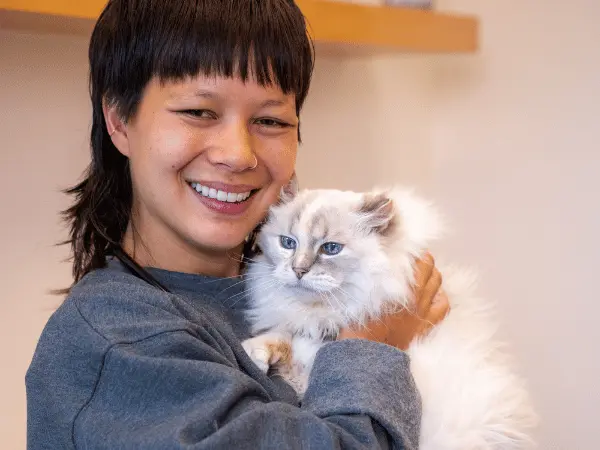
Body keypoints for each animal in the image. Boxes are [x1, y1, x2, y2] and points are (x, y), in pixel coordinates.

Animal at [241, 187, 536, 450]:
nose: (298, 270)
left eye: (331, 248)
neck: (323, 314)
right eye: (287, 243)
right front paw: (254, 353)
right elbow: (283, 338)